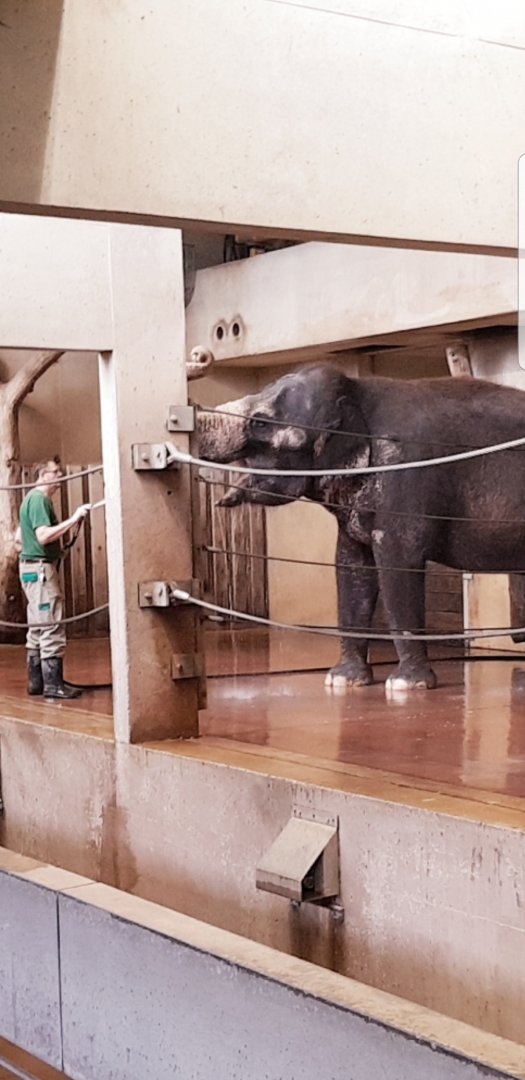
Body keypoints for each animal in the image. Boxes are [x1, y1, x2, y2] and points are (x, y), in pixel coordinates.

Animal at [196, 364, 525, 692]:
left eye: (261, 423)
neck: (357, 390)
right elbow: (351, 565)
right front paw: (343, 680)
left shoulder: (405, 475)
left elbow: (396, 562)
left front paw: (406, 685)